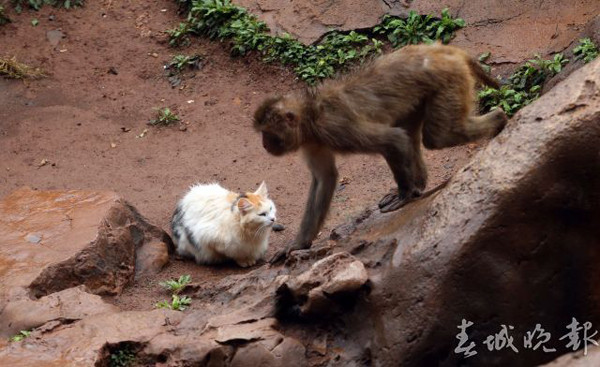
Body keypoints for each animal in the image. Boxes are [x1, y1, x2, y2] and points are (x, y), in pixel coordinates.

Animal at [252, 42, 506, 262]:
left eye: (268, 133)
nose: (264, 144)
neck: (311, 114)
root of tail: (442, 49)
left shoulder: (335, 127)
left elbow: (393, 139)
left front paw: (404, 195)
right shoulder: (313, 143)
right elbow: (325, 178)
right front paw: (299, 244)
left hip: (448, 79)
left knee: (438, 136)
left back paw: (500, 120)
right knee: (413, 132)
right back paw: (420, 185)